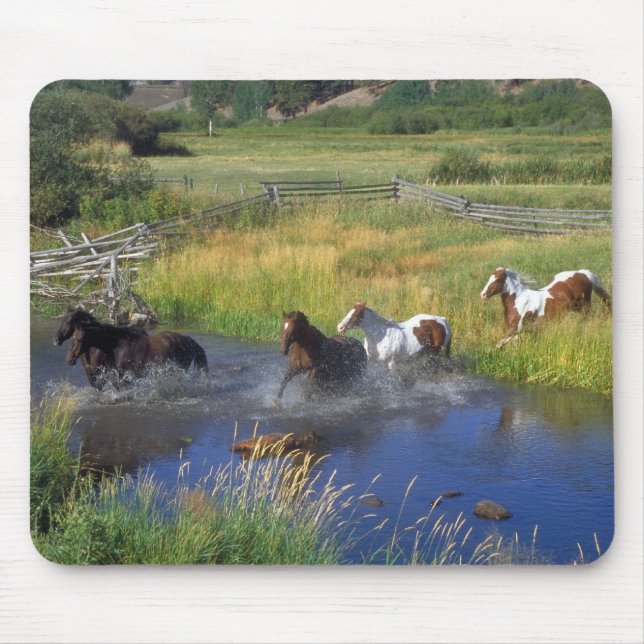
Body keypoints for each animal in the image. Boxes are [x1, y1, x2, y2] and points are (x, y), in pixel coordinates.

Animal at [64, 317, 208, 389]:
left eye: (78, 338)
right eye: (72, 338)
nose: (69, 359)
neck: (119, 347)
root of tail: (188, 340)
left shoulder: (127, 376)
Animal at [479, 266, 612, 348]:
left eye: (497, 280)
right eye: (489, 278)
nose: (483, 294)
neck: (519, 301)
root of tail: (582, 273)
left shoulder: (516, 328)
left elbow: (500, 342)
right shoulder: (522, 330)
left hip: (585, 307)